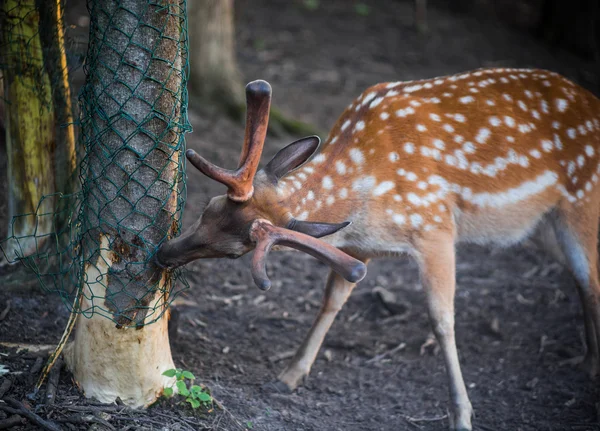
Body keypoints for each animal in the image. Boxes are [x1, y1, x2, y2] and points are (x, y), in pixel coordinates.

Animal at [157, 69, 600, 430]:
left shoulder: (435, 227)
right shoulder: (360, 248)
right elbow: (332, 301)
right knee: (581, 279)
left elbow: (442, 320)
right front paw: (289, 375)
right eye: (209, 207)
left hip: (582, 200)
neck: (367, 196)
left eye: (237, 251)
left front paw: (462, 414)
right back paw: (586, 361)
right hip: (543, 227)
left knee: (591, 279)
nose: (162, 254)